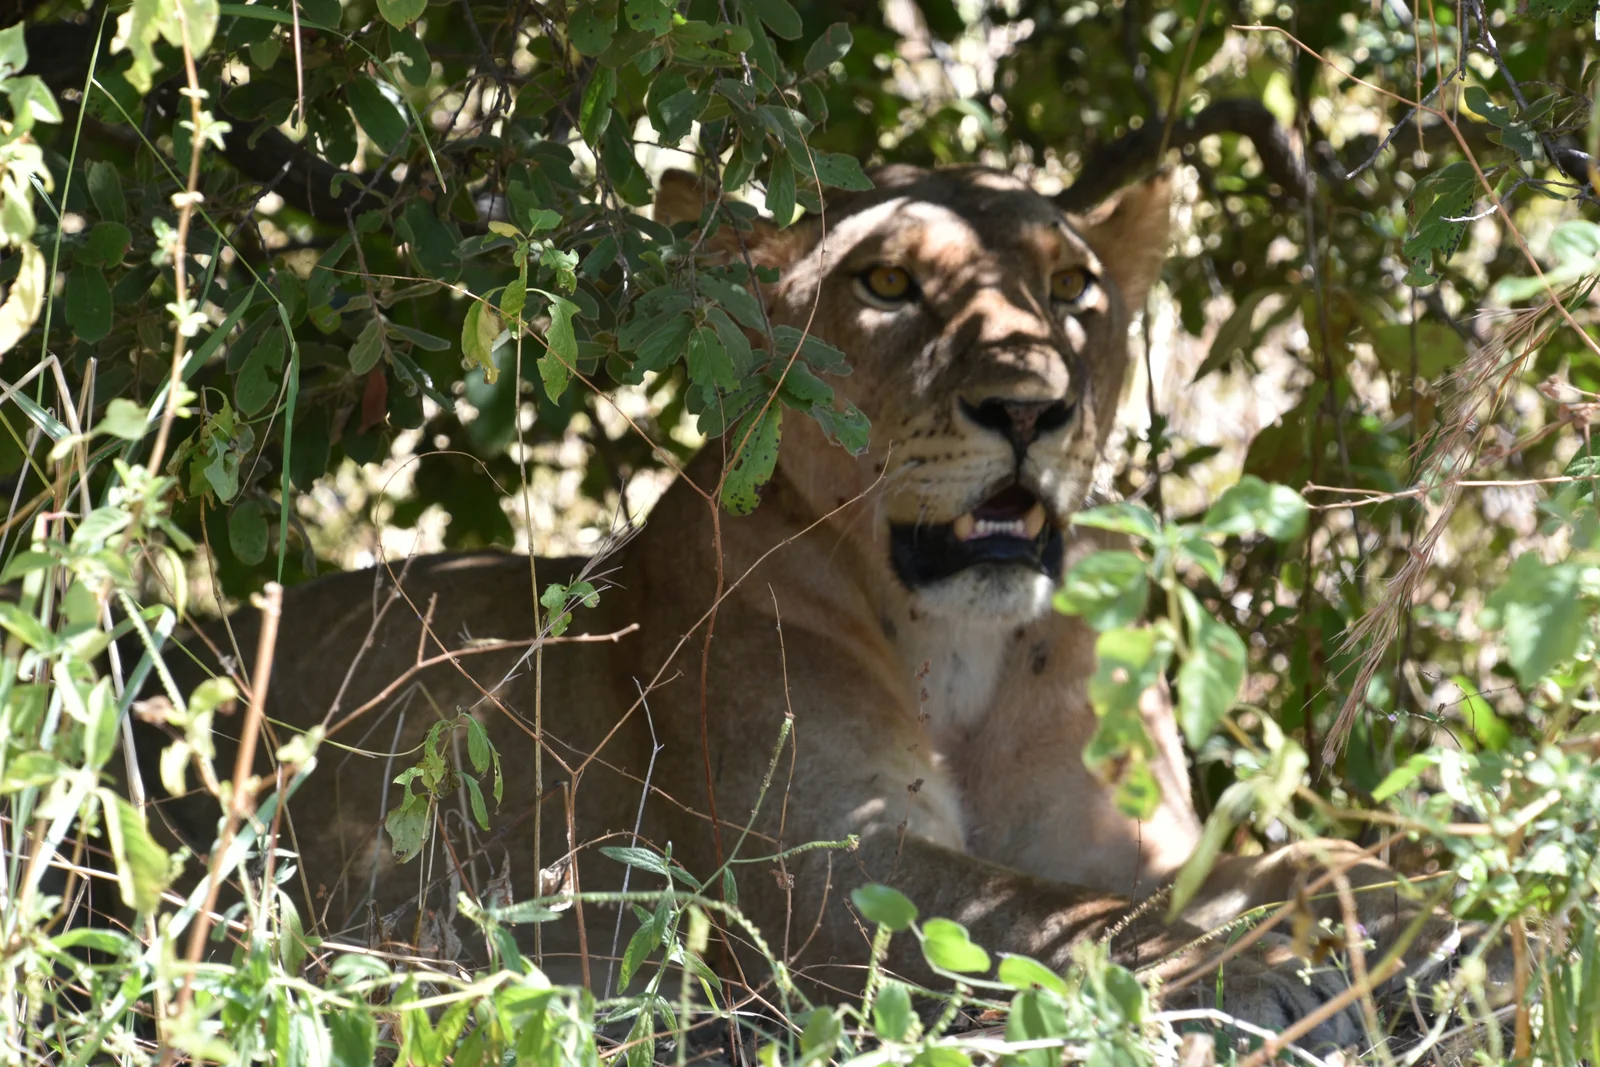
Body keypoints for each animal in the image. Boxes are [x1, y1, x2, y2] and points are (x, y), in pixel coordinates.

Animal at [139, 165, 1475, 1050]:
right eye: (886, 283)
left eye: (1072, 288)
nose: (1030, 407)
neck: (959, 656)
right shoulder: (814, 875)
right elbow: (1062, 919)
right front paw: (1258, 970)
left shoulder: (1125, 837)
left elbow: (1284, 858)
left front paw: (1415, 904)